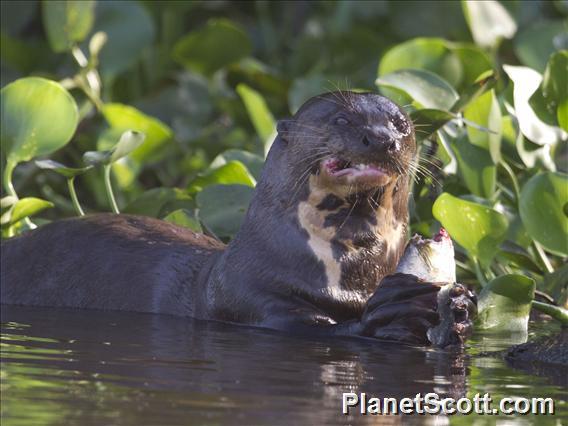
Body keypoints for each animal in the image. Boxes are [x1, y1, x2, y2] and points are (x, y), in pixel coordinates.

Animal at [1, 91, 474, 344]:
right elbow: (318, 330)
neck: (349, 278)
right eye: (343, 119)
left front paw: (461, 306)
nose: (381, 139)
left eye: (401, 125)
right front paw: (393, 308)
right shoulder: (251, 299)